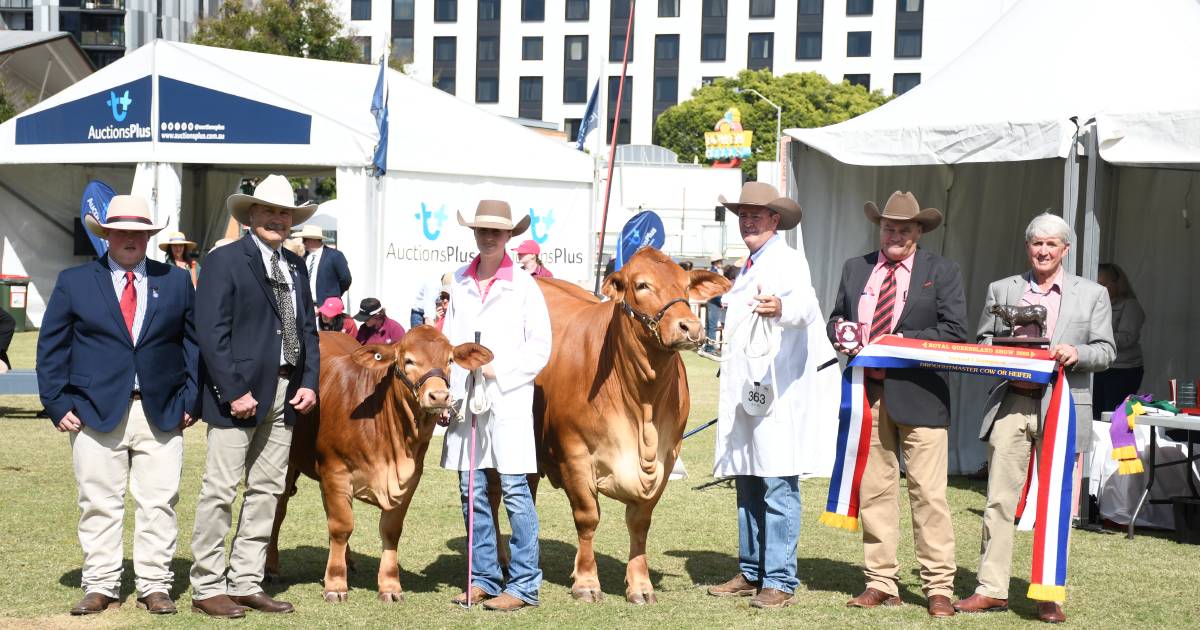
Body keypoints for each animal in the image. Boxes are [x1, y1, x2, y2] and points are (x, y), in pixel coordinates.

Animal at [267, 326, 492, 602]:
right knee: (278, 510)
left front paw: (390, 586)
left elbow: (390, 529)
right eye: (408, 361)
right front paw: (335, 584)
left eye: (449, 360)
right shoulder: (335, 471)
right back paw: (272, 568)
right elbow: (342, 526)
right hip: (288, 463)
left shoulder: (411, 479)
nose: (439, 395)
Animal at [537, 247, 729, 604]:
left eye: (686, 285)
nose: (691, 326)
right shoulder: (574, 453)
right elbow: (588, 517)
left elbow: (640, 523)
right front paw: (586, 582)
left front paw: (640, 585)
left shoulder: (667, 457)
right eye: (641, 285)